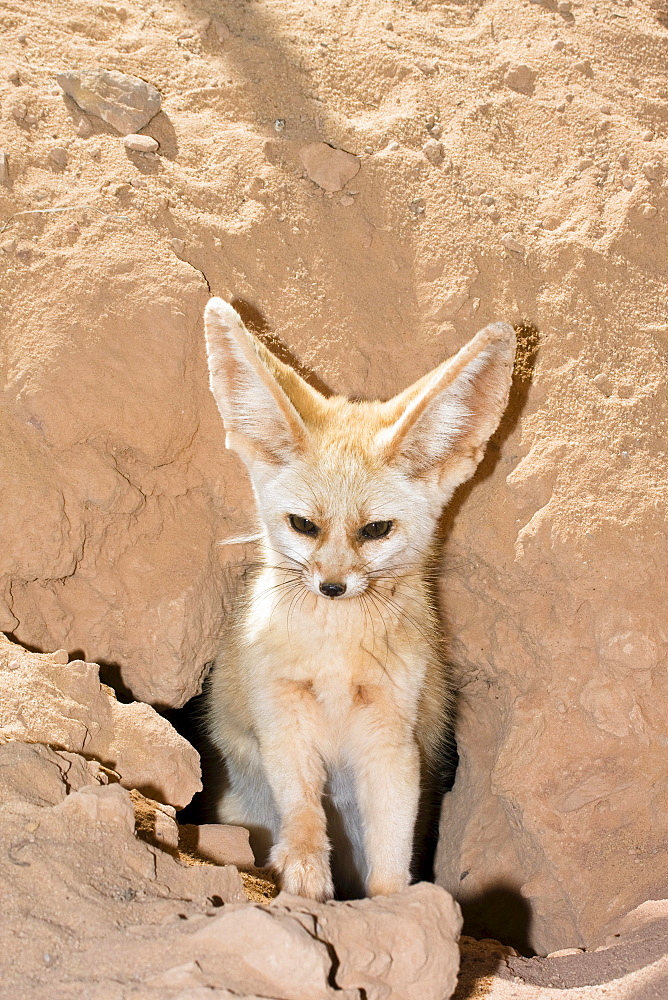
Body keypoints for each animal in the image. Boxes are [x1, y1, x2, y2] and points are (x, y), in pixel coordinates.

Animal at [205, 296, 516, 900]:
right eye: (303, 525)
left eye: (375, 531)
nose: (331, 586)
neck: (334, 660)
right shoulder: (282, 716)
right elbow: (301, 808)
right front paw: (304, 870)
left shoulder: (392, 738)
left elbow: (392, 854)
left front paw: (393, 909)